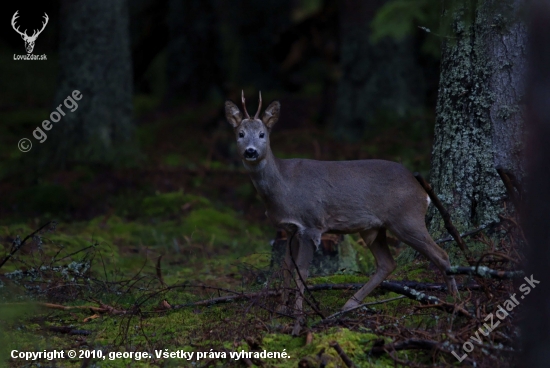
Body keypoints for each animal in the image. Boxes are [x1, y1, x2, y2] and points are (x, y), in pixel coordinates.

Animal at [226, 92, 460, 334]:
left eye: (262, 134)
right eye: (241, 134)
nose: (250, 151)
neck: (283, 187)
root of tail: (421, 190)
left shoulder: (311, 225)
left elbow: (303, 271)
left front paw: (297, 323)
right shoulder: (290, 229)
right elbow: (286, 267)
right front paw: (281, 312)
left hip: (407, 219)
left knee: (441, 254)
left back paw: (456, 308)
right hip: (375, 228)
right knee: (388, 263)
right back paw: (347, 306)